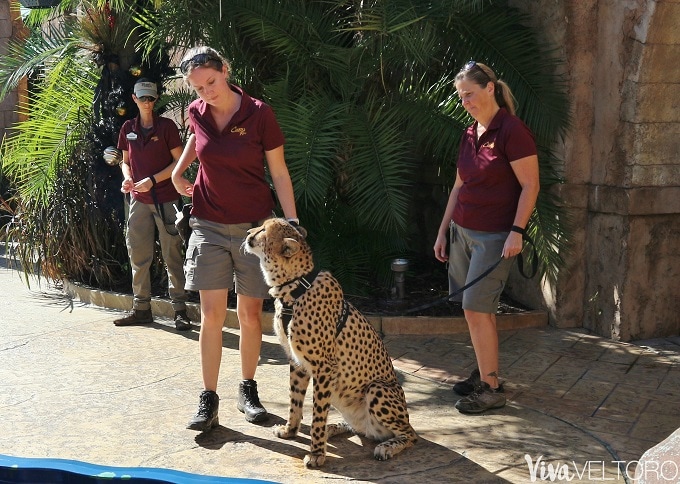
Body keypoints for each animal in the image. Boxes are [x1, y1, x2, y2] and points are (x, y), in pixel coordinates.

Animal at [242, 220, 418, 468]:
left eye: (263, 231)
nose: (248, 232)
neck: (295, 287)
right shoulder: (297, 362)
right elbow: (295, 400)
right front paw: (290, 430)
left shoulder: (324, 367)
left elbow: (317, 412)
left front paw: (316, 453)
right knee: (360, 428)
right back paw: (334, 428)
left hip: (377, 388)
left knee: (410, 434)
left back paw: (386, 447)